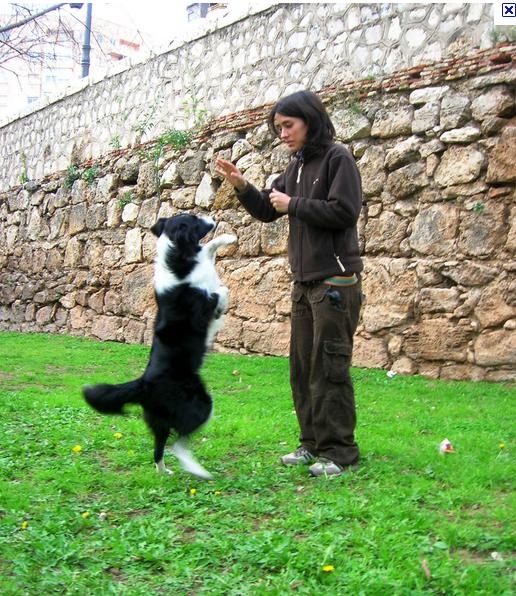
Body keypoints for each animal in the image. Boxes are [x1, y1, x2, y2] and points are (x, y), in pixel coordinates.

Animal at [83, 214, 237, 480]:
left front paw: (227, 238)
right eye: (195, 219)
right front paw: (220, 303)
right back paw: (197, 470)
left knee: (159, 448)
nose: (214, 218)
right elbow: (221, 290)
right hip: (200, 403)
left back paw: (165, 472)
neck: (177, 258)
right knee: (179, 442)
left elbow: (208, 251)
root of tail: (143, 383)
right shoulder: (202, 304)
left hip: (161, 421)